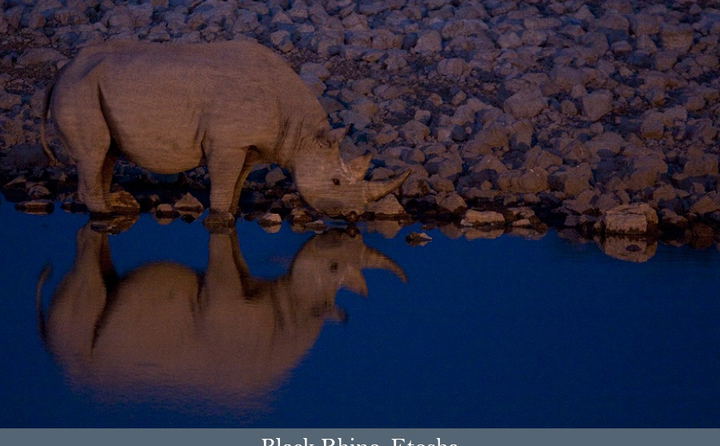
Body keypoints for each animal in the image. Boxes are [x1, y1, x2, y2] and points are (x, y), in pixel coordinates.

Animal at [42, 40, 409, 226]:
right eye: (334, 182)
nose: (354, 215)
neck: (301, 134)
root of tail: (64, 69)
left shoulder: (248, 146)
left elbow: (237, 181)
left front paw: (231, 211)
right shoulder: (227, 143)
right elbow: (223, 181)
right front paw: (219, 218)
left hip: (89, 85)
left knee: (107, 153)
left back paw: (118, 209)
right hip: (79, 88)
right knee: (94, 152)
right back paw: (104, 214)